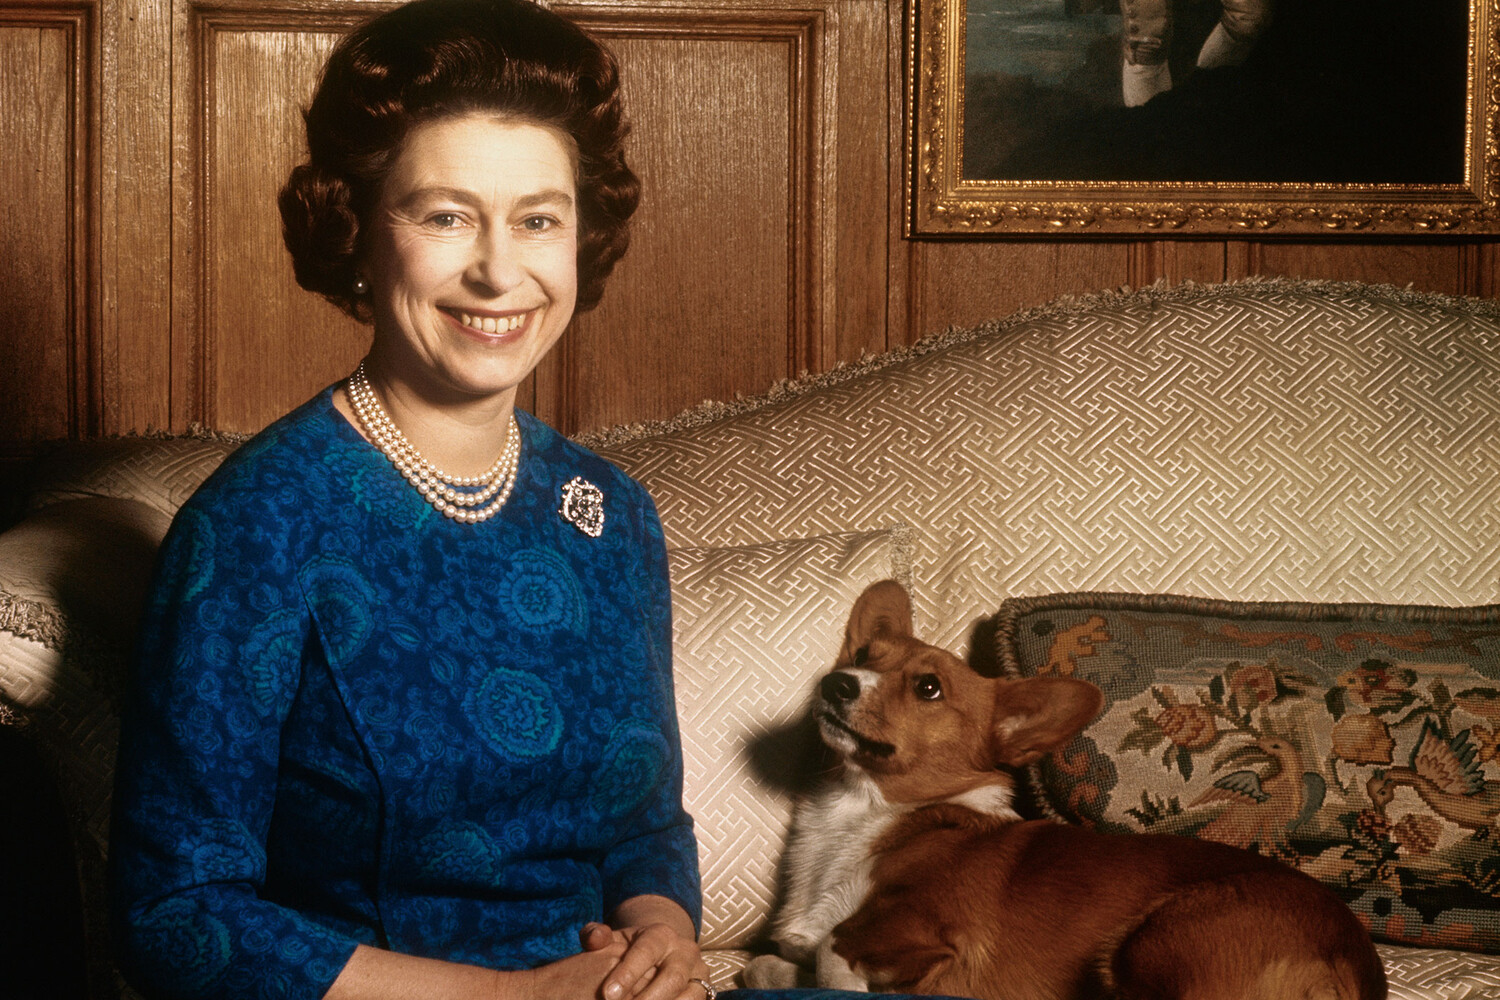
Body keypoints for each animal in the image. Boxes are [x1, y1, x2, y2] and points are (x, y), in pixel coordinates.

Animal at [743, 580, 1387, 1000]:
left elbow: (833, 951)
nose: (836, 682)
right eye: (861, 654)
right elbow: (771, 963)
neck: (863, 811)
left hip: (1151, 941)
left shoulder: (930, 931)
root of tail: (1357, 965)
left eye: (928, 687)